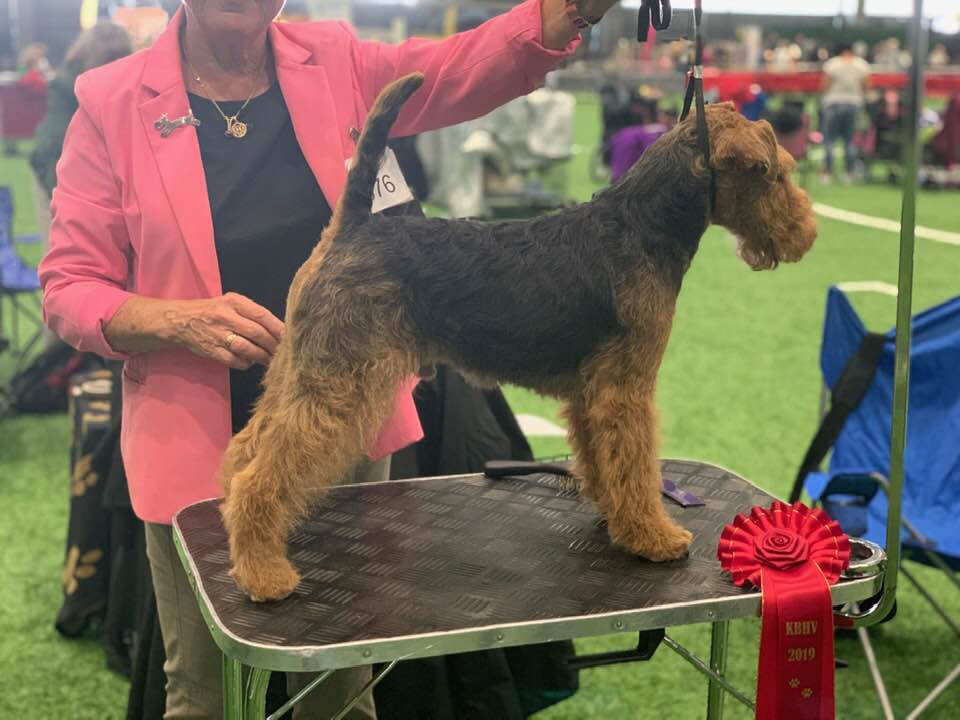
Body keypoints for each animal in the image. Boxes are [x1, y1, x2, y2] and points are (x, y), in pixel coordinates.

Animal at [219, 73, 816, 600]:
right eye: (775, 172)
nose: (807, 233)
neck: (641, 225)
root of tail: (352, 229)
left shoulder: (593, 390)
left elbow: (603, 460)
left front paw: (612, 513)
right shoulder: (626, 386)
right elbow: (635, 463)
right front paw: (653, 536)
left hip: (300, 366)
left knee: (245, 450)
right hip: (340, 377)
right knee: (262, 474)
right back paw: (263, 572)